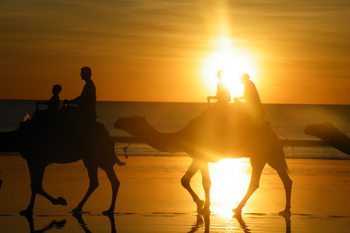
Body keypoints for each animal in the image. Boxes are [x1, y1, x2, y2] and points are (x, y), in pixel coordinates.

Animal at [115, 104, 292, 216]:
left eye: (132, 120)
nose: (117, 121)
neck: (183, 136)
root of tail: (274, 134)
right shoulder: (197, 156)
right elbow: (185, 180)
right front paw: (201, 205)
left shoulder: (202, 156)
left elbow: (204, 182)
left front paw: (204, 206)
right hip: (267, 155)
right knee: (282, 180)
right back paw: (283, 209)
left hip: (262, 153)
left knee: (259, 181)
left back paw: (238, 208)